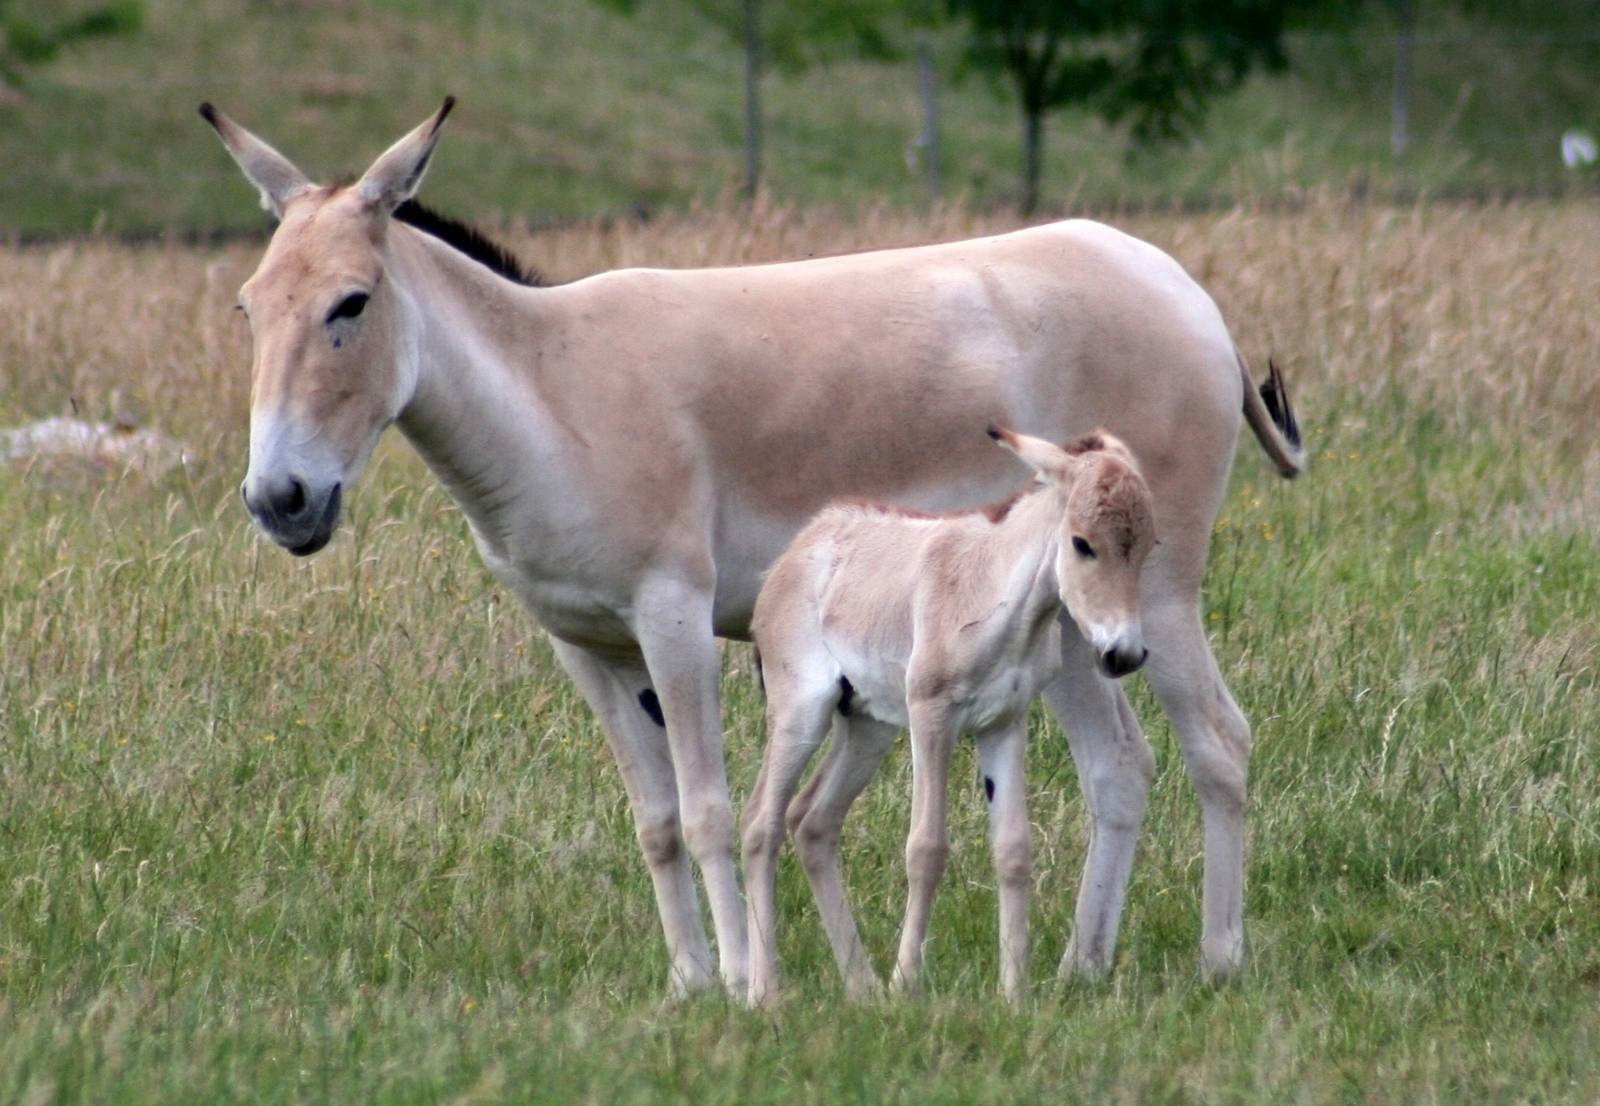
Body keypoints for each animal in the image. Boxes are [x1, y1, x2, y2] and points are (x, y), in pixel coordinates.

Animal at [742, 428, 1158, 1005]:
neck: (1001, 596)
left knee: (812, 820)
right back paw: (766, 994)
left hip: (869, 726)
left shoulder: (1003, 722)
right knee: (761, 823)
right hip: (801, 712)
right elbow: (926, 848)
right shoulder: (932, 716)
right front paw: (907, 985)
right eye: (1082, 543)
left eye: (1149, 546)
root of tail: (803, 543)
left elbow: (1013, 850)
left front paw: (1014, 994)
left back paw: (862, 988)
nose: (1124, 656)